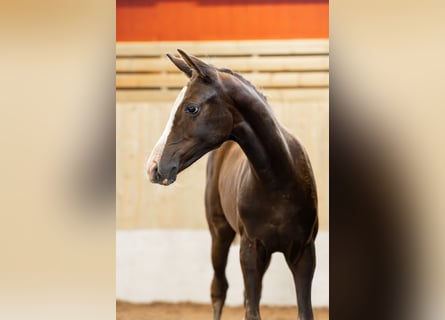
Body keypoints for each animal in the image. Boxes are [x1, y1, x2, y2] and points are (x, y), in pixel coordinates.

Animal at [147, 49, 318, 320]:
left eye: (191, 108)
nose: (154, 167)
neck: (278, 182)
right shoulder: (250, 250)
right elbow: (250, 311)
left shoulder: (304, 253)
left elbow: (303, 311)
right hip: (220, 233)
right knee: (219, 289)